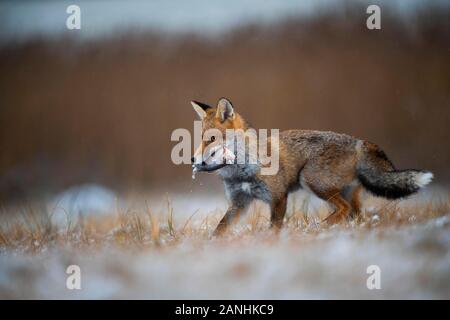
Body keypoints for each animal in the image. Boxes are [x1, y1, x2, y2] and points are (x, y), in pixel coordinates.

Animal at [190, 97, 432, 235]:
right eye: (201, 139)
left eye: (211, 139)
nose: (193, 159)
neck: (242, 171)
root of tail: (359, 141)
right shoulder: (239, 203)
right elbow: (218, 231)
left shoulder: (278, 197)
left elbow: (274, 229)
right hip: (345, 193)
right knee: (355, 215)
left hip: (311, 180)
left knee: (343, 210)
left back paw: (316, 228)